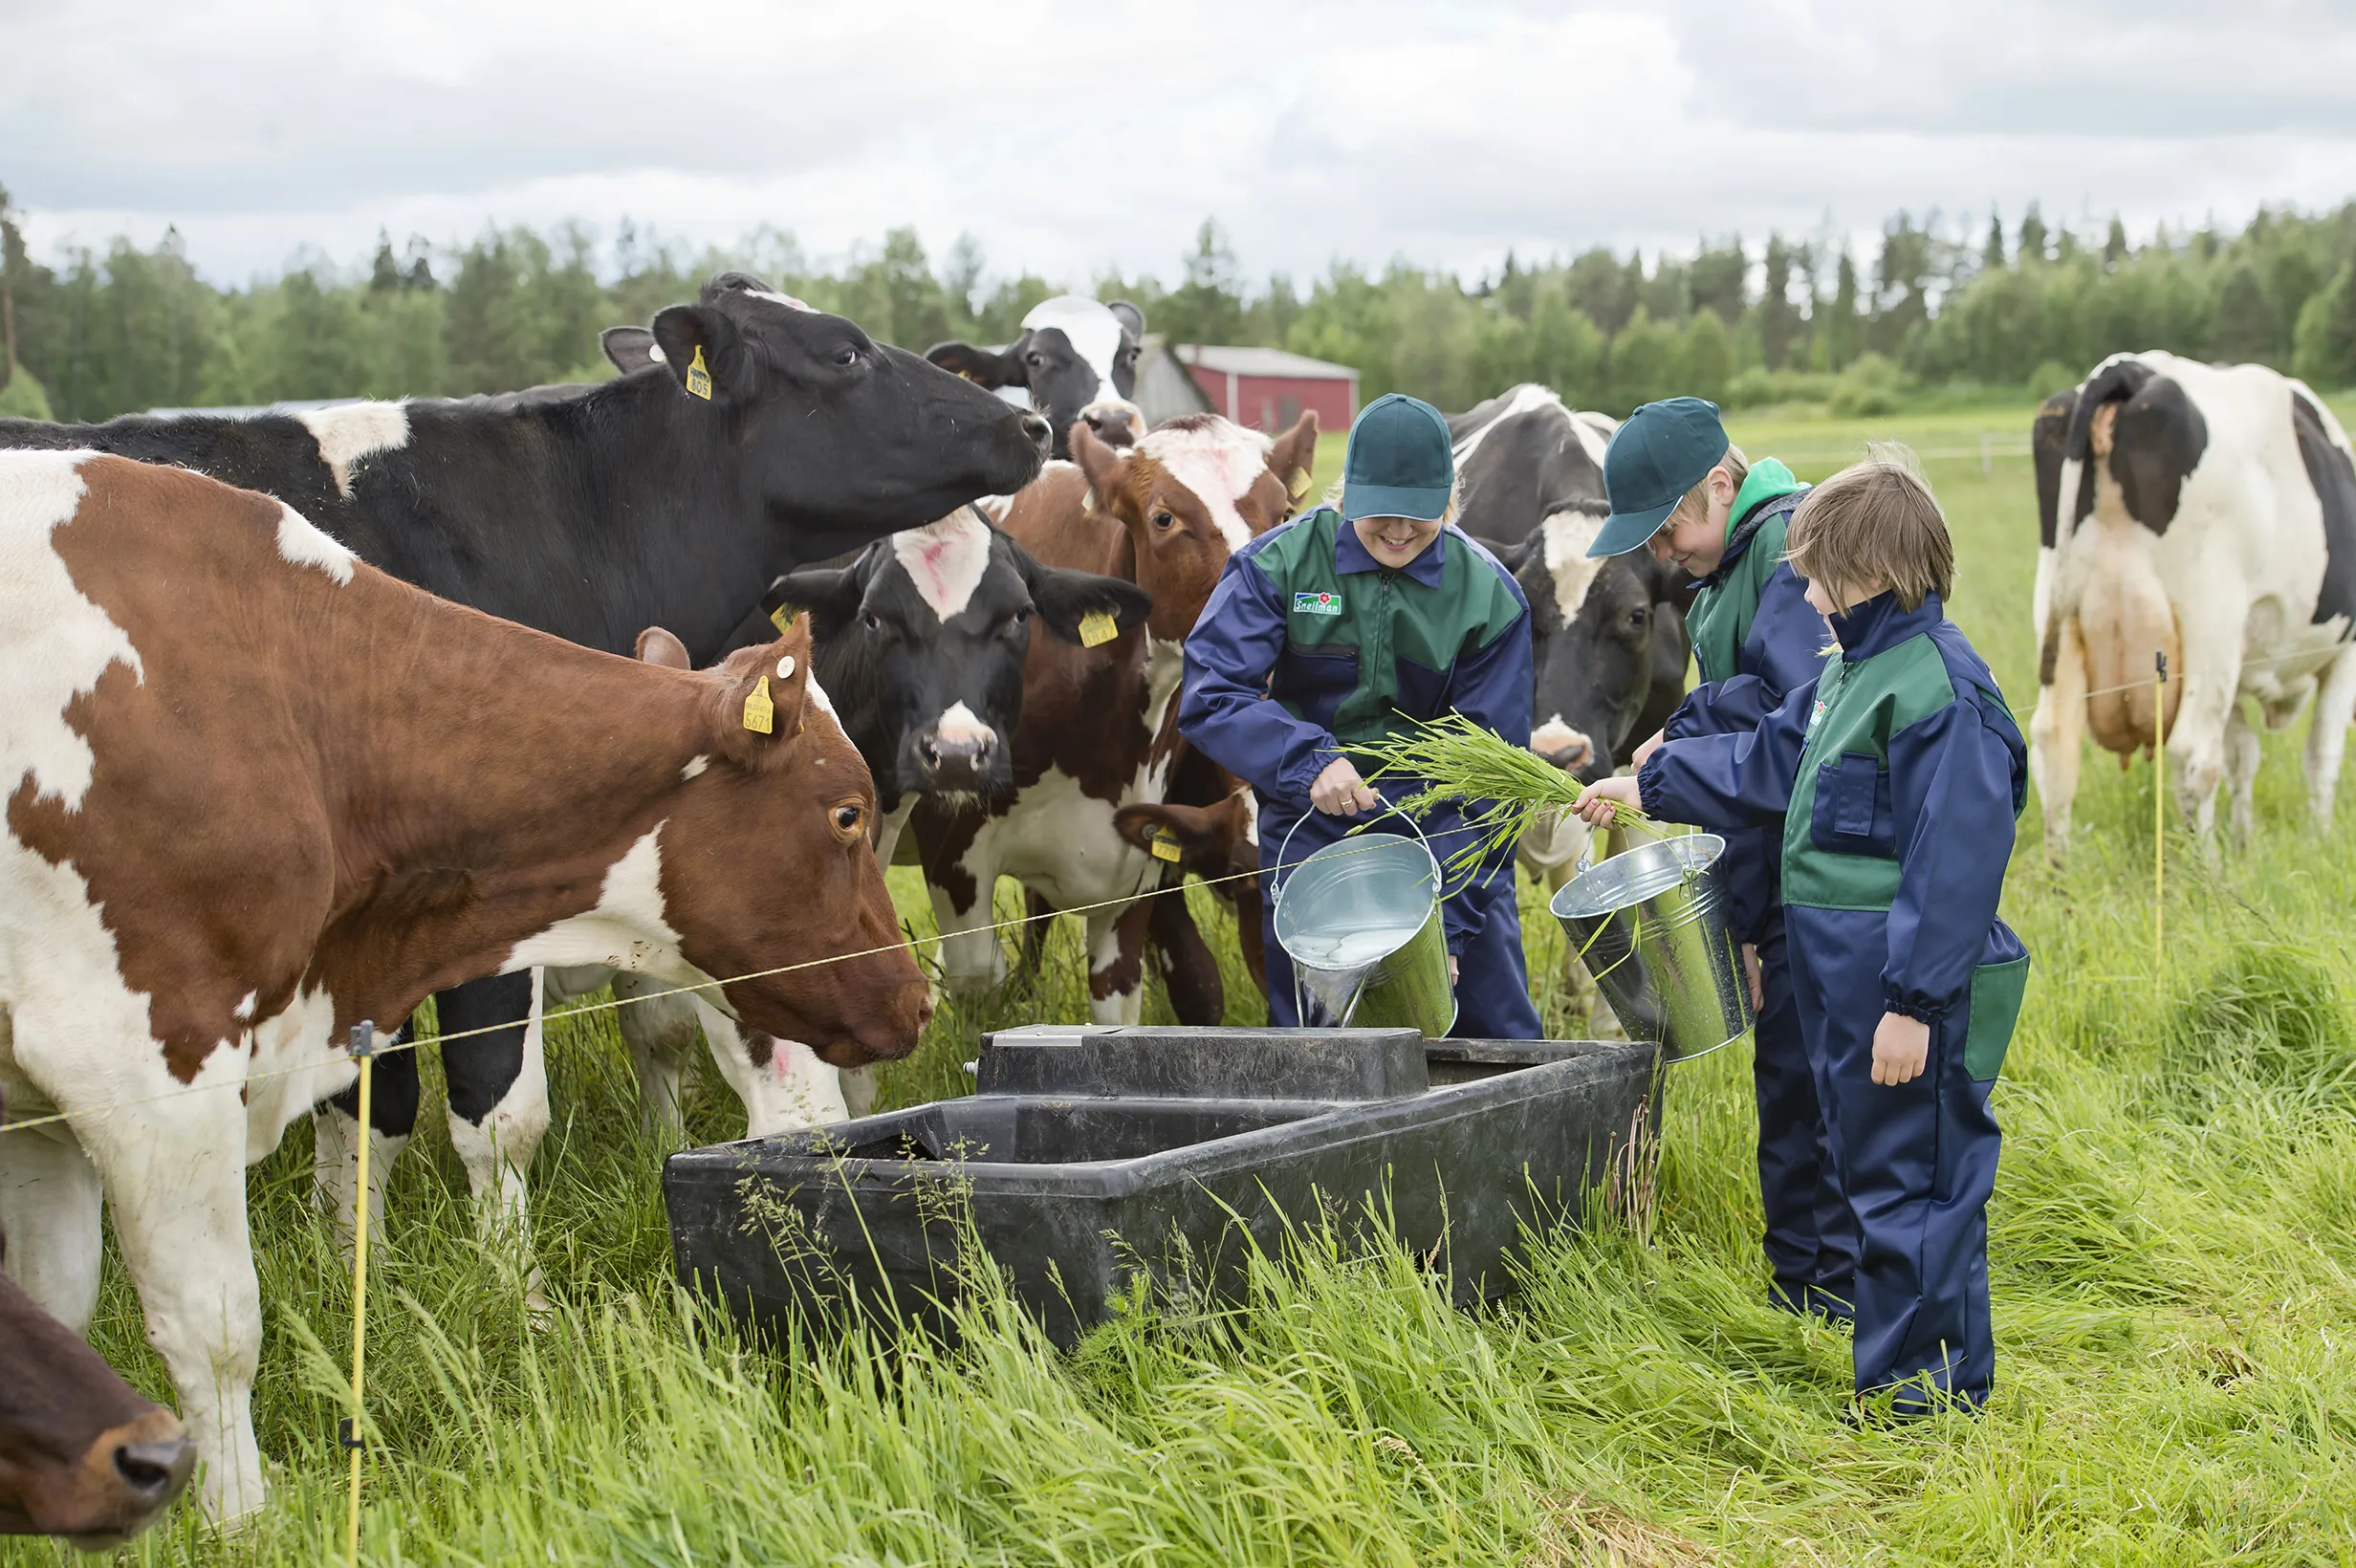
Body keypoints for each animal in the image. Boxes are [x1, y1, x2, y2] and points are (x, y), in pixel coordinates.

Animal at [0, 273, 1050, 1261]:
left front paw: (356, 1255)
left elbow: (373, 1108)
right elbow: (492, 1112)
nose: (1033, 423)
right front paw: (510, 1285)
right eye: (843, 352)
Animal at [0, 449, 937, 1515]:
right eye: (847, 812)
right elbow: (216, 1323)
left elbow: (55, 1316)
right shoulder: (143, 1069)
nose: (916, 998)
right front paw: (242, 1518)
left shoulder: (40, 1113)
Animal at [909, 411, 1319, 1026]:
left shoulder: (1137, 860)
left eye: (1285, 514)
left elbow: (1168, 988)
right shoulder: (951, 848)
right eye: (1164, 518)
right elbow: (978, 979)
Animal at [2026, 350, 2356, 857]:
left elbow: (2244, 755)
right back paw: (2207, 867)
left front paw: (2245, 843)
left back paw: (2060, 868)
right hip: (2210, 618)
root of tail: (2131, 368)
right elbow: (2322, 752)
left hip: (2058, 614)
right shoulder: (2344, 654)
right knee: (2194, 753)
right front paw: (2319, 840)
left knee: (2053, 744)